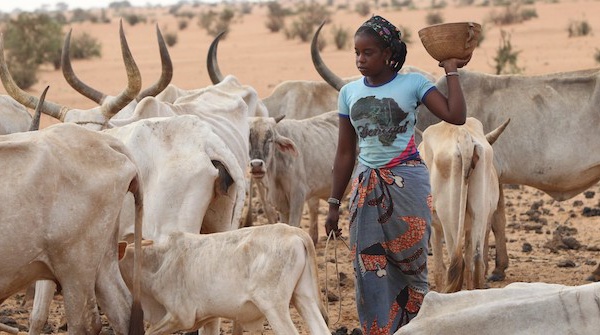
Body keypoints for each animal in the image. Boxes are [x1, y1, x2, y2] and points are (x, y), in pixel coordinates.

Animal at [117, 223, 330, 335]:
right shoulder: (208, 316)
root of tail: (295, 232)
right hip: (303, 297)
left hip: (273, 307)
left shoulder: (181, 316)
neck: (158, 261)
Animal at [418, 119, 510, 292]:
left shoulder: (435, 226)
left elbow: (439, 269)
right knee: (476, 261)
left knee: (456, 262)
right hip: (479, 215)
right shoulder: (468, 227)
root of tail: (463, 135)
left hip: (449, 221)